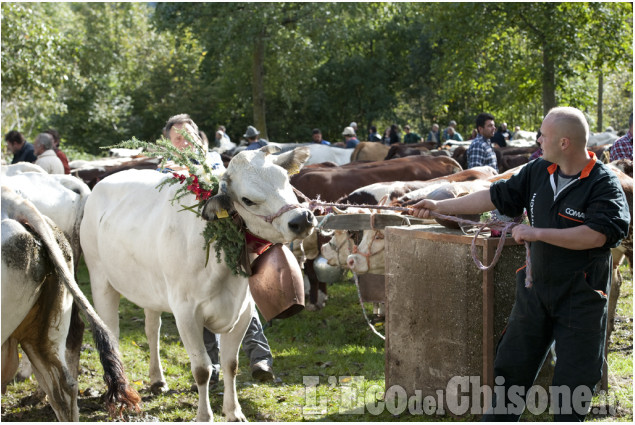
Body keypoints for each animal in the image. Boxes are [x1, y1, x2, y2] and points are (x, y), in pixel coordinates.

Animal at [80, 146, 316, 420]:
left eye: (286, 180)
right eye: (247, 200)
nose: (302, 219)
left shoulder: (243, 311)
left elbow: (231, 364)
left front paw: (234, 412)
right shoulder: (186, 313)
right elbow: (202, 369)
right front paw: (205, 416)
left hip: (151, 289)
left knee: (152, 330)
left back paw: (157, 379)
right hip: (100, 279)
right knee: (112, 333)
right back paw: (120, 389)